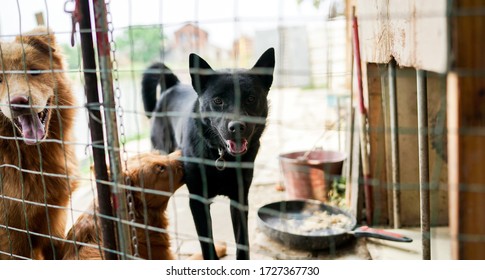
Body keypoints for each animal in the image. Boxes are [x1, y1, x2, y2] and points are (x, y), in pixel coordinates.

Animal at [142, 47, 274, 258]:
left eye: (251, 99)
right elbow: (207, 246)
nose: (237, 127)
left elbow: (242, 243)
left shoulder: (239, 199)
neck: (221, 157)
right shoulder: (198, 202)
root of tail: (173, 85)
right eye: (218, 101)